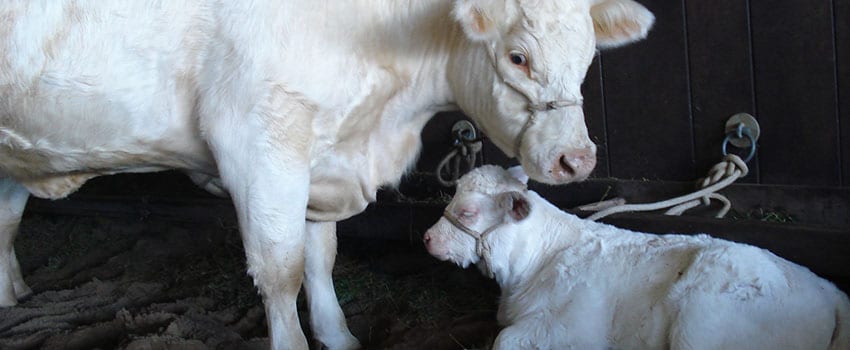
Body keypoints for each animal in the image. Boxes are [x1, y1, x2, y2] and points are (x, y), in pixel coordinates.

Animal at [0, 1, 652, 348]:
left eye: (588, 57)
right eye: (518, 56)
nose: (577, 160)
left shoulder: (320, 165)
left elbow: (320, 259)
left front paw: (339, 336)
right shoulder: (262, 149)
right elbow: (280, 272)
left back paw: (12, 296)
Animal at [424, 166, 848, 350]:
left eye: (467, 213)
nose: (427, 238)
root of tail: (829, 291)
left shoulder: (571, 328)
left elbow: (504, 340)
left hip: (701, 331)